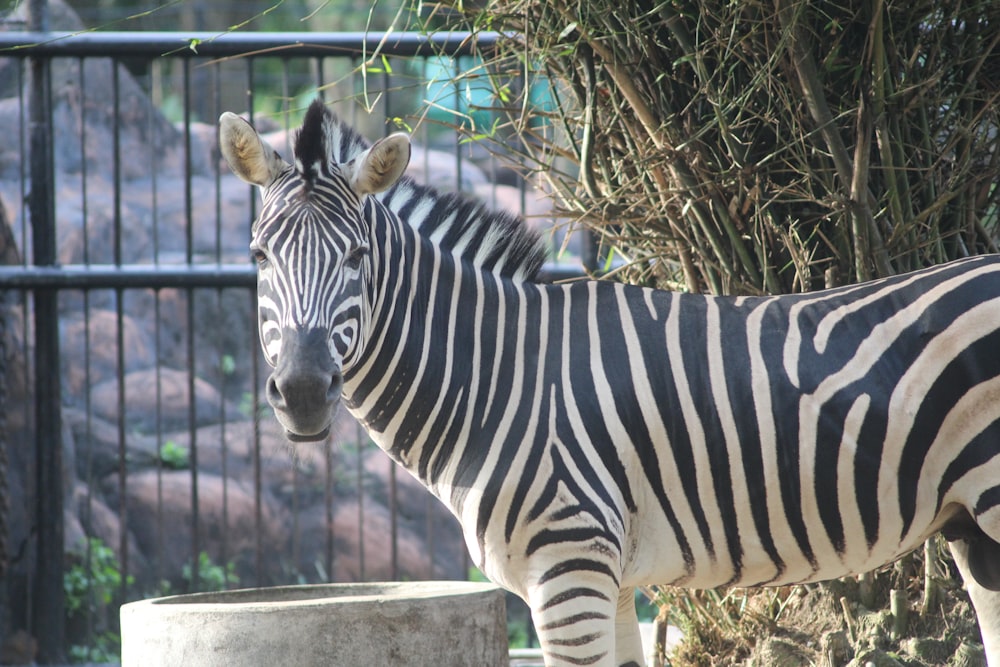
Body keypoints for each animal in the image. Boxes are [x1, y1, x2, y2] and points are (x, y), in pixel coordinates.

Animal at [219, 100, 1000, 667]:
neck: (496, 376)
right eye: (258, 256)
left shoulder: (569, 570)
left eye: (356, 257)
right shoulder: (611, 580)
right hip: (971, 525)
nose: (303, 392)